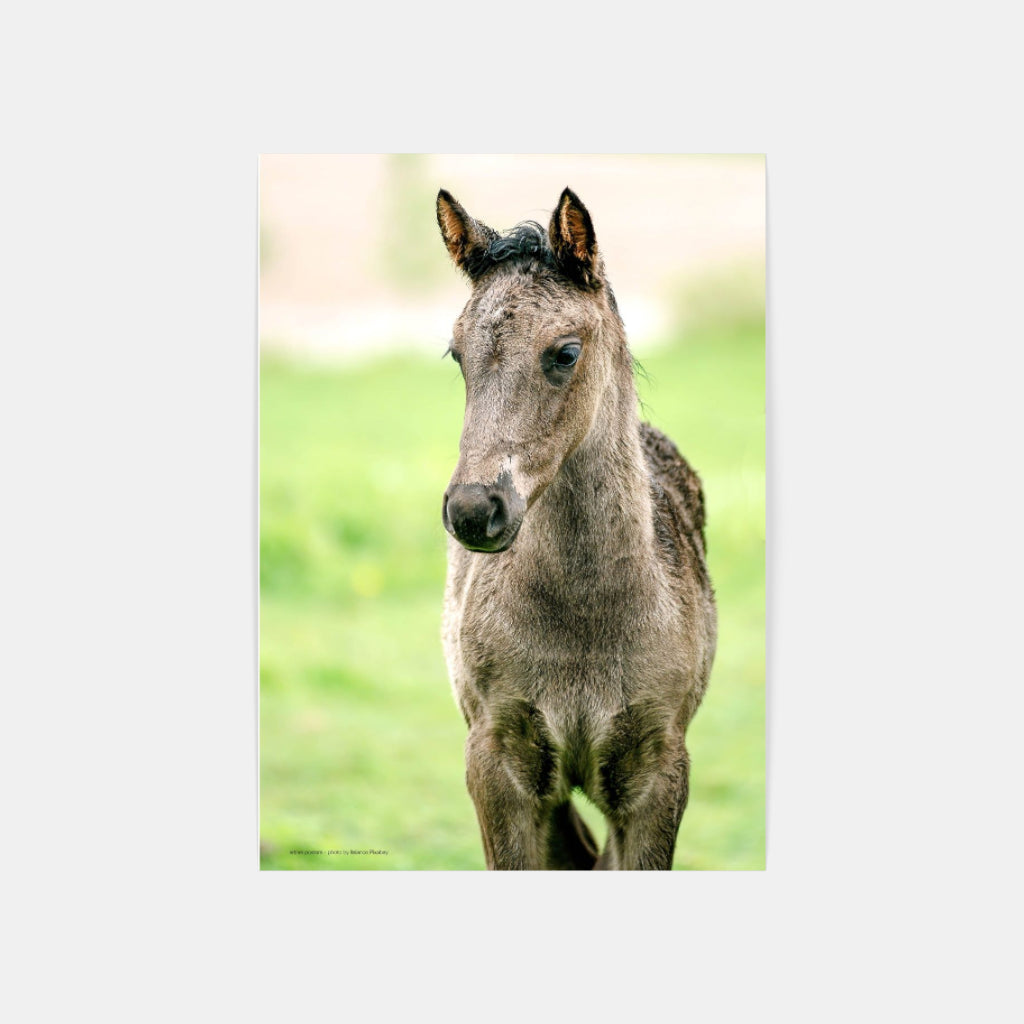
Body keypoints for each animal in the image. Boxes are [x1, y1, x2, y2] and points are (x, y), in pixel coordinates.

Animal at [436, 187, 717, 870]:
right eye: (458, 353)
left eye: (565, 352)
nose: (474, 510)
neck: (586, 620)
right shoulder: (497, 764)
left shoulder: (658, 773)